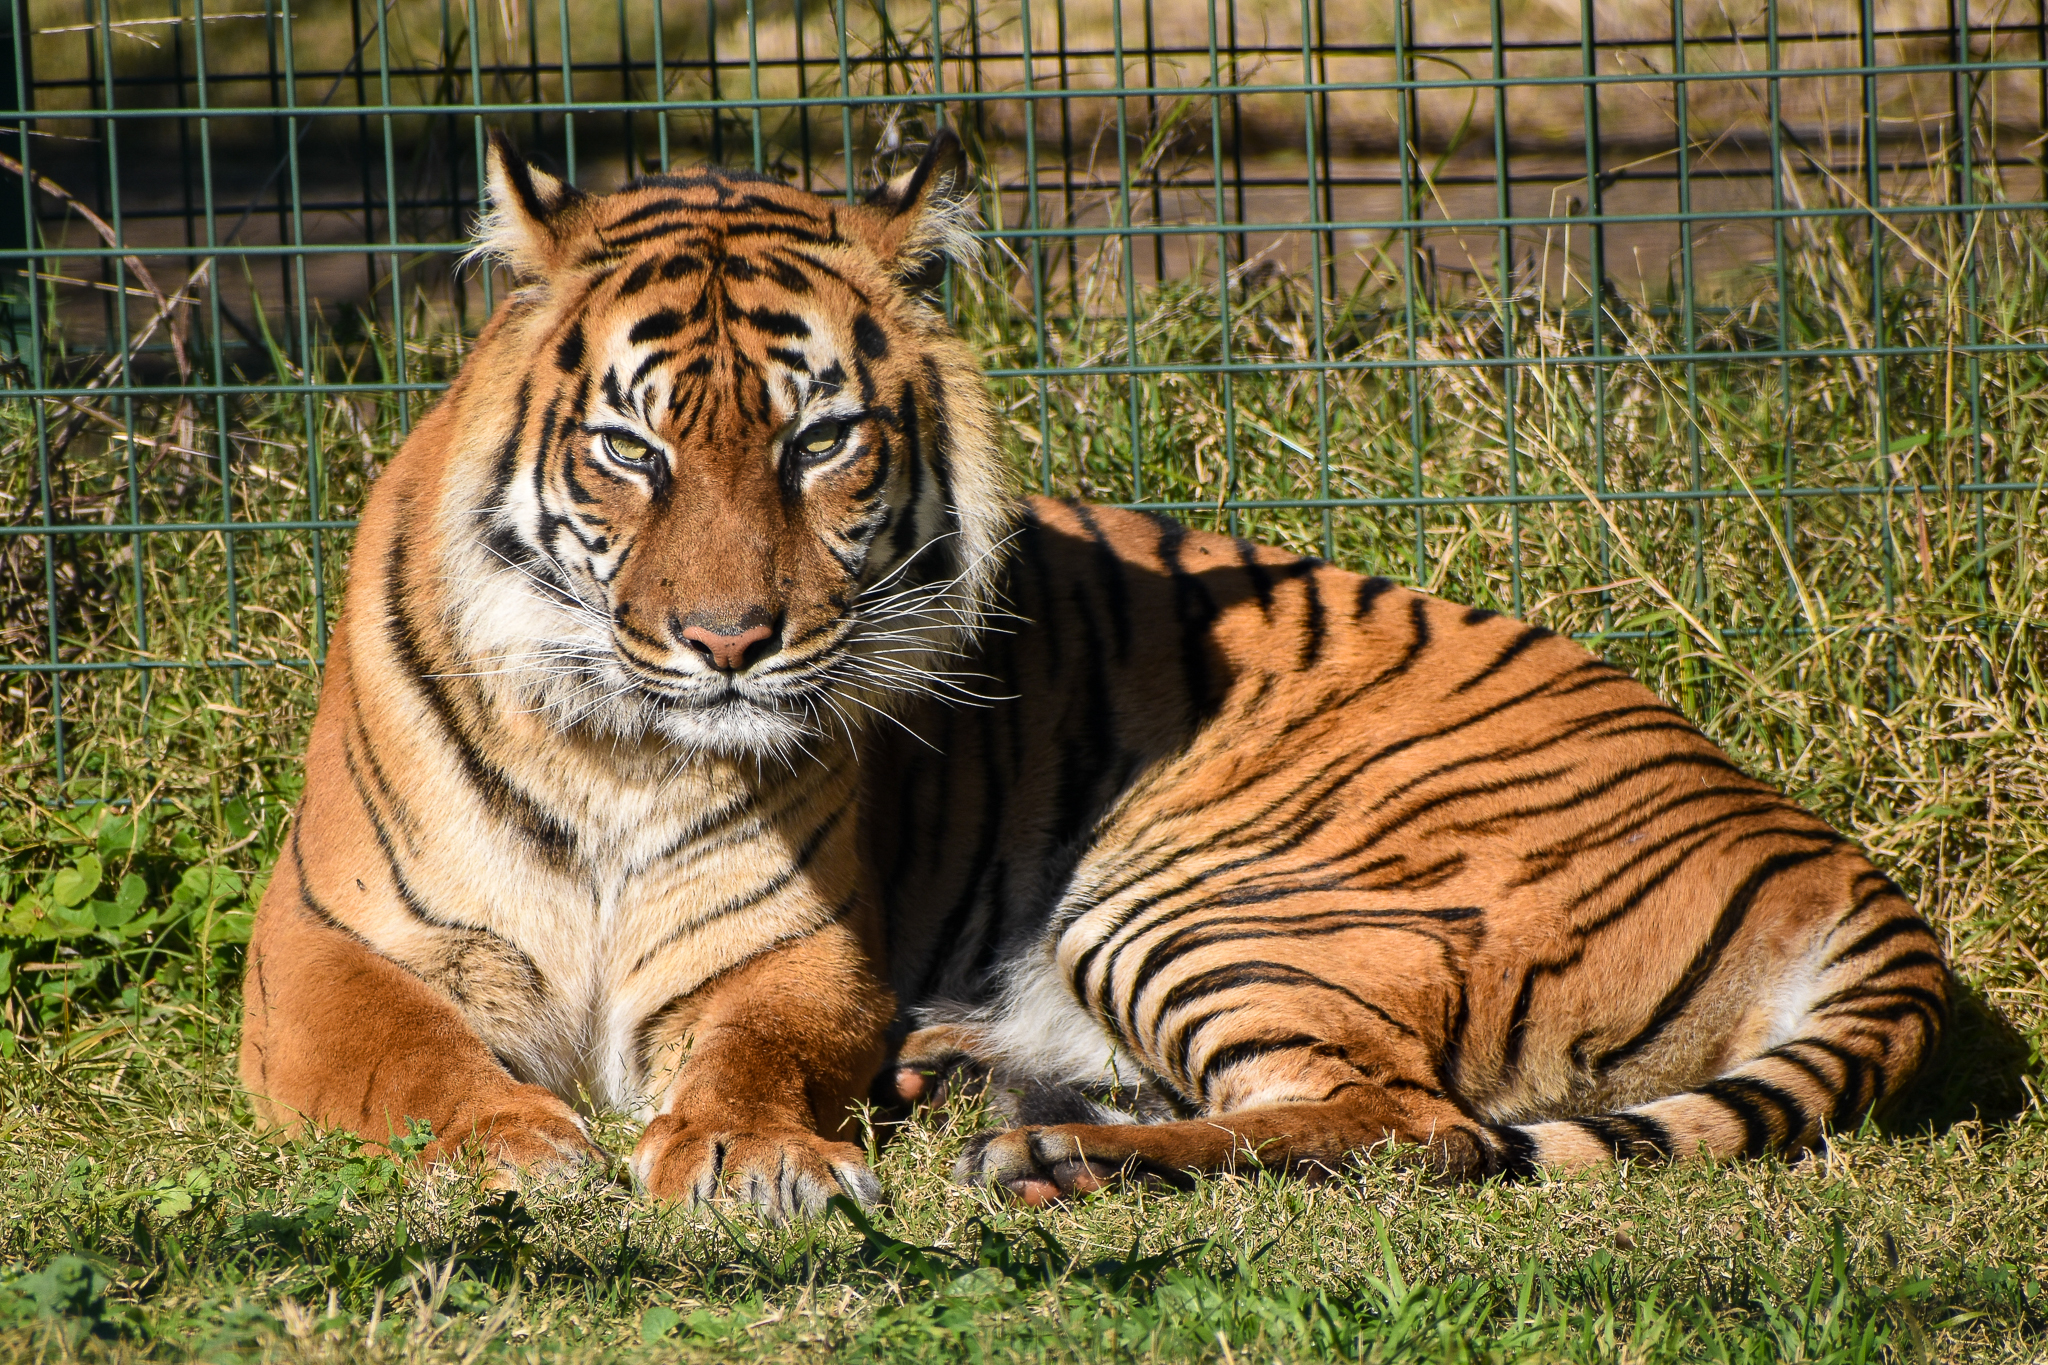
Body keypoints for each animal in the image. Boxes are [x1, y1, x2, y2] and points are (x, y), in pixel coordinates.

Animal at [238, 128, 1949, 1216]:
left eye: (819, 442)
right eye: (632, 452)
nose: (730, 645)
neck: (621, 742)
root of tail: (1824, 856)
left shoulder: (796, 954)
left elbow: (752, 1053)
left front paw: (748, 1153)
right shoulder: (318, 947)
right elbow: (409, 1054)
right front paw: (511, 1145)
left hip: (1213, 886)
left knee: (1419, 1125)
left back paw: (1053, 1155)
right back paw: (976, 1086)